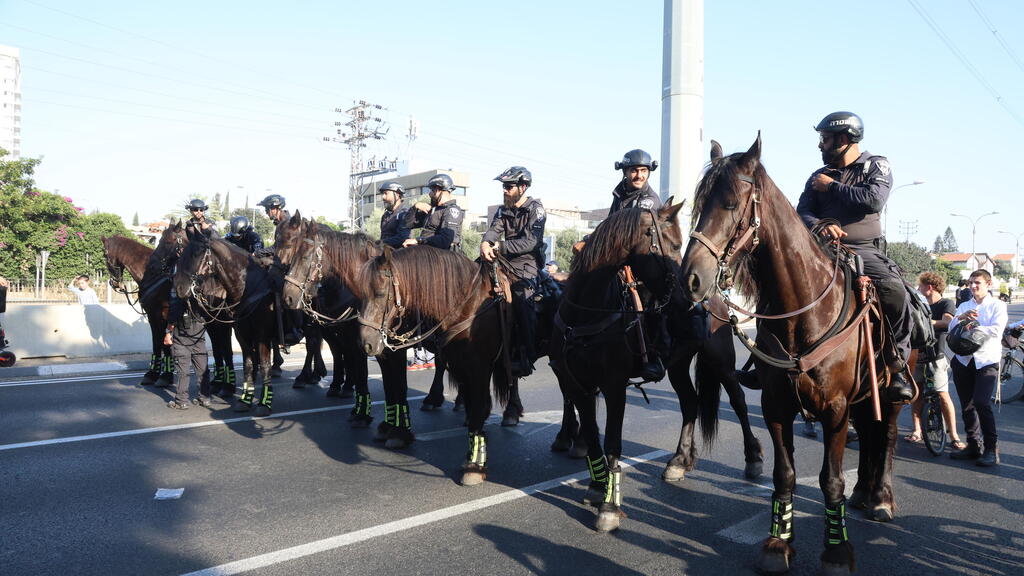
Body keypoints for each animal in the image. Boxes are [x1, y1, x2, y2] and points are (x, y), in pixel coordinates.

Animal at [679, 136, 905, 569]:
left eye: (730, 203)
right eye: (698, 206)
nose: (691, 279)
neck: (806, 312)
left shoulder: (836, 408)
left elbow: (830, 479)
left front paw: (837, 549)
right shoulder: (776, 404)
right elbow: (784, 475)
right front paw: (777, 542)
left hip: (889, 392)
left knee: (886, 435)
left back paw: (882, 497)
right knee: (870, 435)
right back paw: (864, 492)